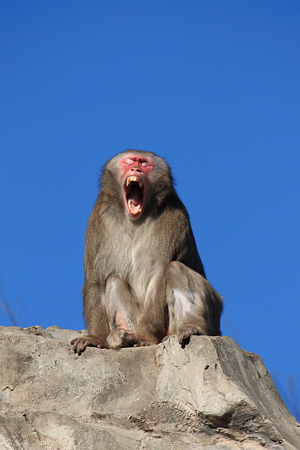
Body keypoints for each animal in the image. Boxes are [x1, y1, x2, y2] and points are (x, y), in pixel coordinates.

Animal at [71, 151, 223, 356]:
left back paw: (192, 327)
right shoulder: (97, 220)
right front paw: (96, 338)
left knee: (174, 268)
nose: (136, 169)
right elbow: (97, 279)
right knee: (113, 280)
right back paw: (124, 337)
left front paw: (145, 338)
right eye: (130, 161)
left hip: (211, 314)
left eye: (144, 163)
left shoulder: (173, 218)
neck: (134, 220)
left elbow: (159, 275)